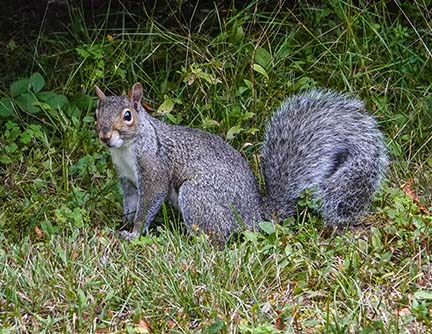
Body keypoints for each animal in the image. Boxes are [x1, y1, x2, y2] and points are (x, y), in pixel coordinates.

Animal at [95, 82, 388, 241]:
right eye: (96, 113)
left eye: (128, 115)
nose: (104, 136)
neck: (126, 149)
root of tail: (254, 216)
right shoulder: (127, 179)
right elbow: (130, 204)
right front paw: (122, 224)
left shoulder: (154, 170)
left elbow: (147, 204)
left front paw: (134, 233)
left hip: (198, 196)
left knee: (217, 238)